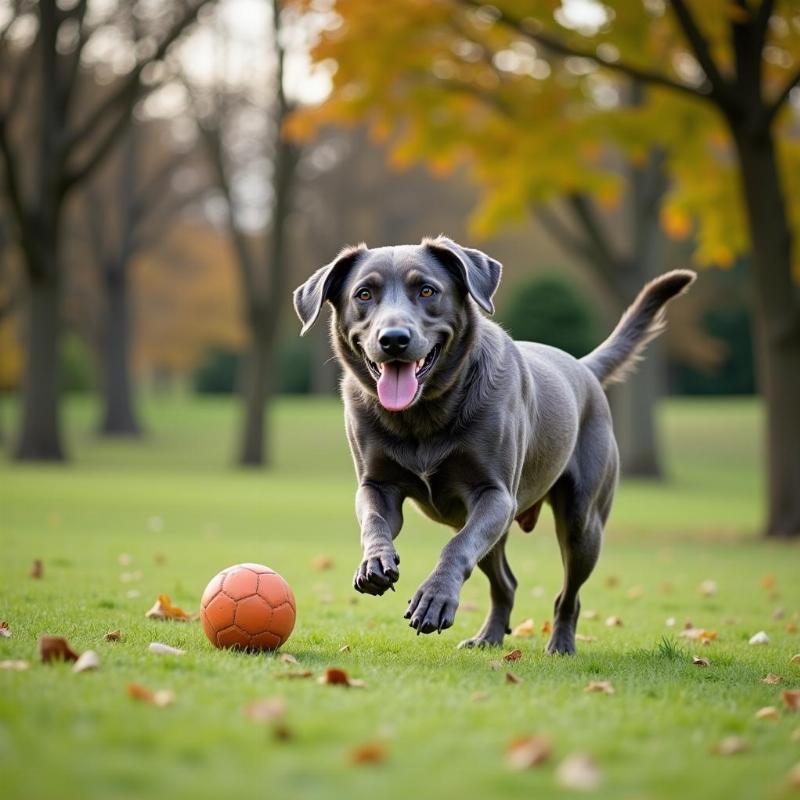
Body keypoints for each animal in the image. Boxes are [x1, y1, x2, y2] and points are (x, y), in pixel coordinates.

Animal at [294, 236, 692, 648]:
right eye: (364, 294)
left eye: (427, 290)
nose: (393, 340)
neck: (421, 416)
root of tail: (583, 367)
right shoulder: (377, 484)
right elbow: (374, 518)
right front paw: (374, 562)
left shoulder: (495, 494)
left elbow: (456, 548)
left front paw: (434, 599)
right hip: (495, 531)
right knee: (506, 583)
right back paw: (488, 637)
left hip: (583, 522)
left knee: (569, 593)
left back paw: (560, 644)